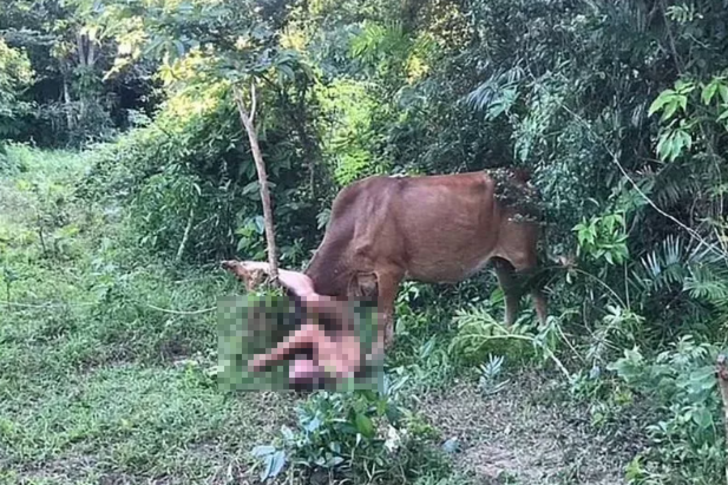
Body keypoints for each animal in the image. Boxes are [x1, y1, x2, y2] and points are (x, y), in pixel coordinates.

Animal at [302, 169, 544, 352]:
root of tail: (524, 180)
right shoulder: (363, 280)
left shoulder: (390, 269)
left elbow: (382, 315)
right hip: (499, 260)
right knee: (510, 294)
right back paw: (507, 334)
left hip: (522, 252)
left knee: (536, 290)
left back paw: (544, 332)